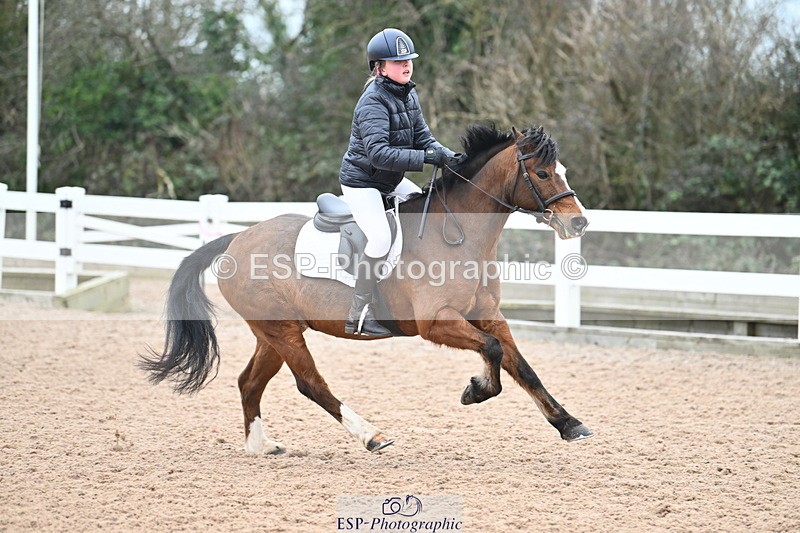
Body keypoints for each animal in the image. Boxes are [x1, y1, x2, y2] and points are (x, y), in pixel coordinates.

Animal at [141, 124, 592, 454]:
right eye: (542, 173)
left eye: (564, 171)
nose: (578, 223)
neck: (458, 234)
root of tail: (236, 239)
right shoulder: (436, 322)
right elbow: (495, 353)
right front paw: (476, 389)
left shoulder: (487, 316)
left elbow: (521, 366)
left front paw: (569, 424)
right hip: (281, 331)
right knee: (311, 383)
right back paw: (372, 435)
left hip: (274, 332)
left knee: (249, 382)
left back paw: (261, 446)